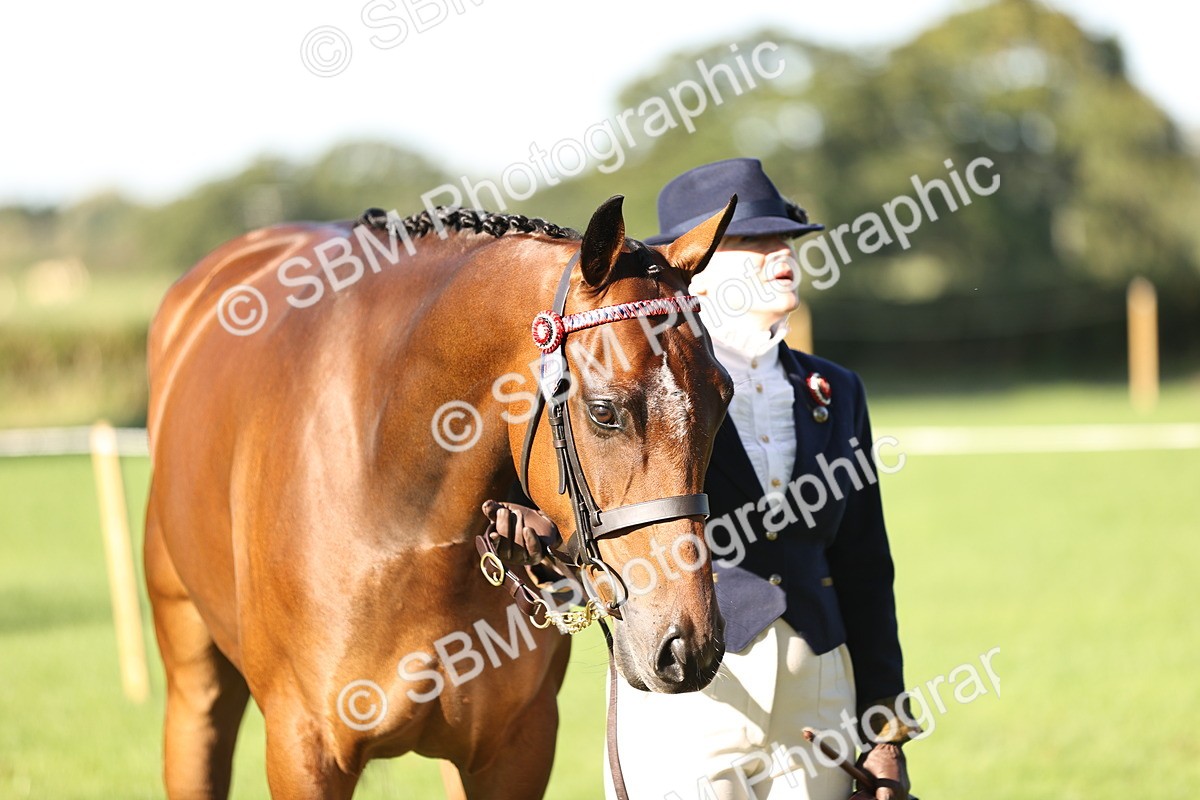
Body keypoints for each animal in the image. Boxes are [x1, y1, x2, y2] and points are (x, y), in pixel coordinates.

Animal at [144, 194, 736, 799]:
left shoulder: (514, 750)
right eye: (603, 411)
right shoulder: (302, 750)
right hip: (194, 693)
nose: (688, 646)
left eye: (723, 399)